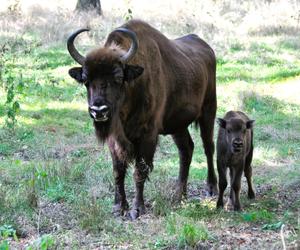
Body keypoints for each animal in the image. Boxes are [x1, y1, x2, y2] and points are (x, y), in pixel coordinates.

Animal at [67, 19, 217, 219]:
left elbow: (140, 170)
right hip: (178, 125)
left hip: (208, 111)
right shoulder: (115, 139)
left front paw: (137, 209)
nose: (99, 110)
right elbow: (118, 171)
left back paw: (211, 189)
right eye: (85, 79)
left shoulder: (147, 135)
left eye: (118, 77)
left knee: (208, 147)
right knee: (186, 150)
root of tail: (207, 48)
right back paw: (179, 196)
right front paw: (119, 207)